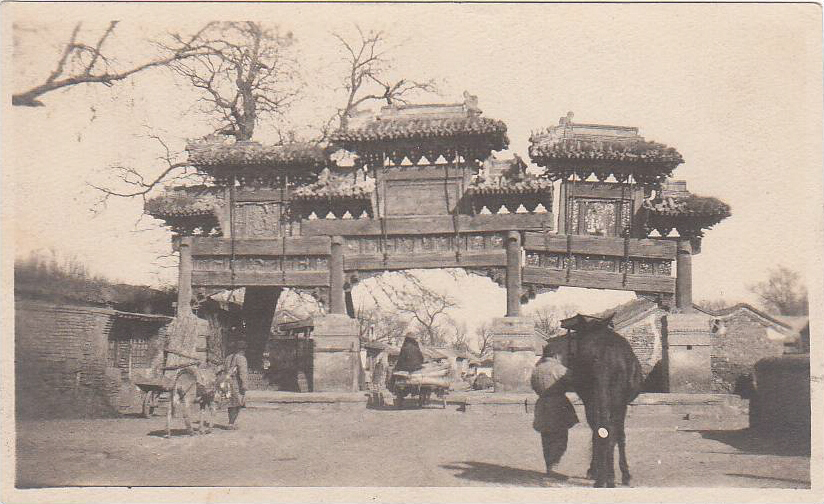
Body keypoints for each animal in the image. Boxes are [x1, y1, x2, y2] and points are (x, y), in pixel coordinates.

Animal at [559, 313, 643, 488]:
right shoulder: (622, 401)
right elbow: (618, 433)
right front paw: (624, 474)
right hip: (611, 395)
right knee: (608, 430)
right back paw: (608, 477)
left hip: (595, 393)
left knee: (602, 428)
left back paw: (603, 477)